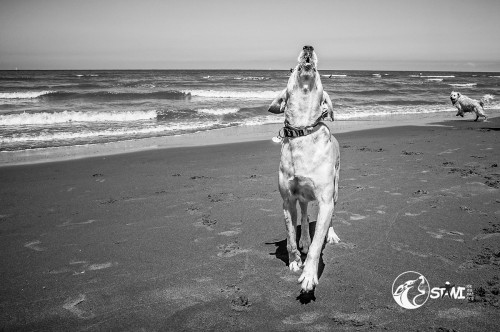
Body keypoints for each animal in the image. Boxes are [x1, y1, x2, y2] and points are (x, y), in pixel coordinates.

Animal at [270, 46, 340, 294]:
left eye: (319, 73)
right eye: (291, 70)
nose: (308, 47)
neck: (302, 129)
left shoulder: (325, 200)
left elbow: (317, 245)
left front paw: (309, 275)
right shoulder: (287, 199)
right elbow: (291, 235)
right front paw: (294, 260)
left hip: (335, 189)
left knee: (329, 217)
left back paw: (331, 234)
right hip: (301, 197)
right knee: (304, 212)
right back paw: (305, 240)